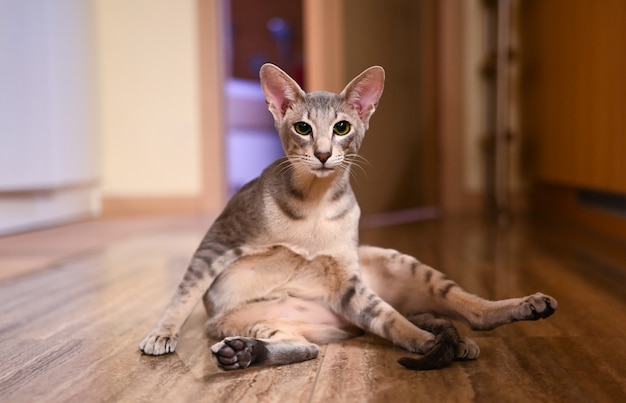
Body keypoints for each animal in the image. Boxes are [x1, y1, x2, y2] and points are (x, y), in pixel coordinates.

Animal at [138, 64, 556, 372]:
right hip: (255, 320)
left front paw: (426, 342)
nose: (323, 154)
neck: (314, 203)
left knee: (461, 311)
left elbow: (392, 320)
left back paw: (515, 312)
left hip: (400, 265)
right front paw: (162, 333)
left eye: (342, 127)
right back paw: (241, 352)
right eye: (303, 128)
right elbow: (184, 291)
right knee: (305, 348)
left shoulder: (348, 282)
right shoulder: (219, 240)